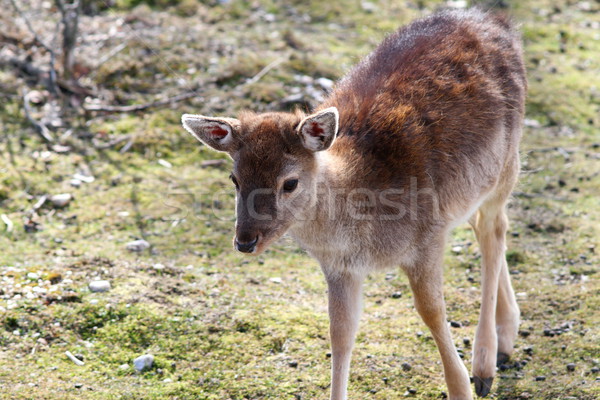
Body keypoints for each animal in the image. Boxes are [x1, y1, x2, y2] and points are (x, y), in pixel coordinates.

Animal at [182, 9, 524, 400]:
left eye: (290, 182)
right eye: (234, 179)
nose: (244, 241)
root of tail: (492, 18)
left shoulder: (427, 238)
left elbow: (432, 312)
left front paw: (462, 387)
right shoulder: (340, 268)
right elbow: (340, 333)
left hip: (507, 162)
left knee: (494, 229)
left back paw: (484, 364)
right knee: (481, 225)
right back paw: (507, 336)